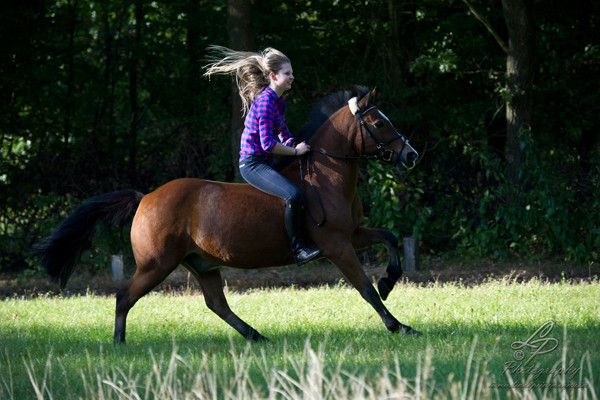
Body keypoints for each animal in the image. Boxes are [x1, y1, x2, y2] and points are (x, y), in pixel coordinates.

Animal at [36, 88, 422, 344]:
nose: (411, 155)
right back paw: (119, 343)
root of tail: (146, 198)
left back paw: (256, 336)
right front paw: (399, 326)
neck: (326, 176)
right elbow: (365, 290)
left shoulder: (352, 234)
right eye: (379, 123)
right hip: (156, 264)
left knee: (216, 304)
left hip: (202, 264)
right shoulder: (337, 245)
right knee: (123, 297)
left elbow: (389, 239)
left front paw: (390, 282)